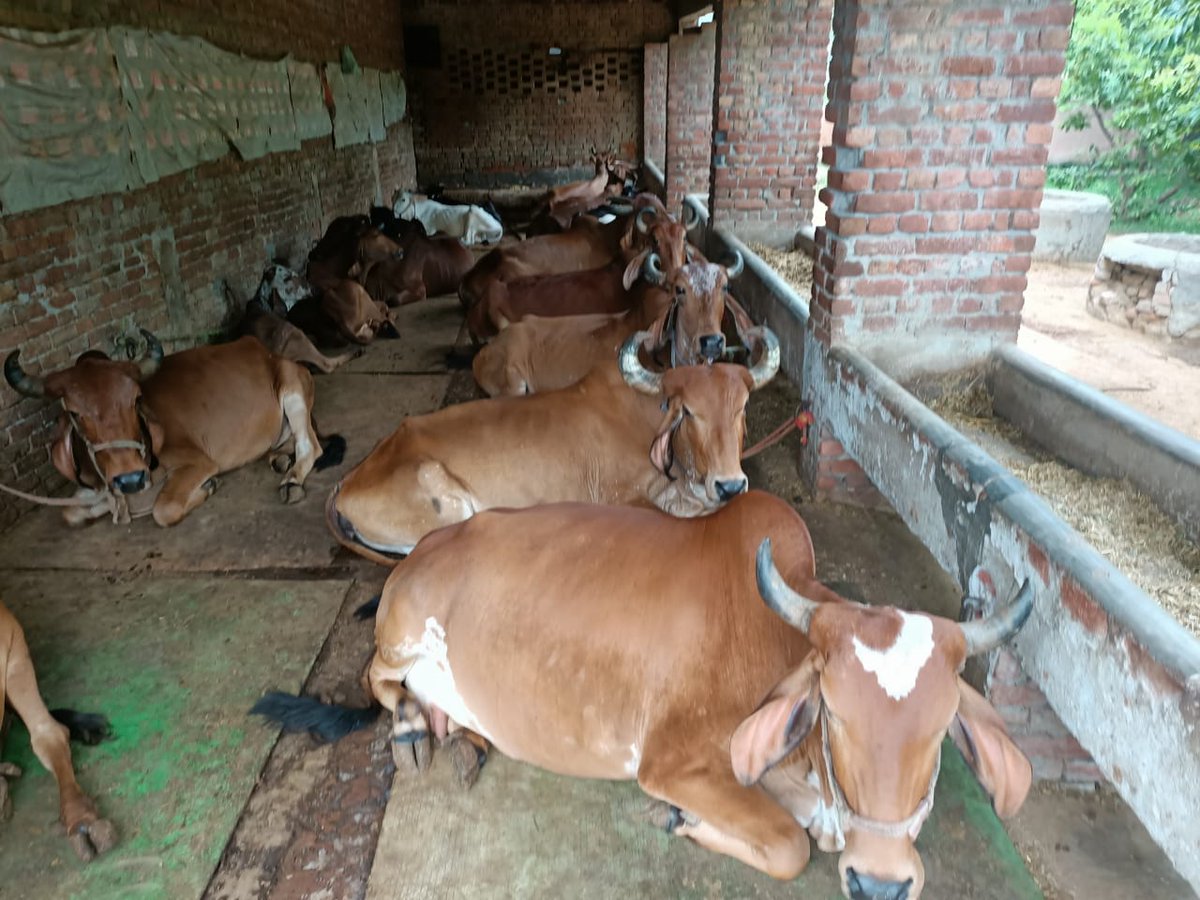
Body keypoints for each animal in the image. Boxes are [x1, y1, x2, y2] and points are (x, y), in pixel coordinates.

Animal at [3, 332, 345, 527]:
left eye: (135, 400)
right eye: (75, 412)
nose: (130, 479)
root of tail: (269, 353)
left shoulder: (197, 462)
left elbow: (163, 509)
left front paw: (209, 486)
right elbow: (70, 514)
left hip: (291, 388)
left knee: (310, 445)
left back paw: (291, 479)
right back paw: (280, 459)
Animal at [253, 491, 1034, 899]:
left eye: (942, 729)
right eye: (834, 713)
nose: (881, 884)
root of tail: (426, 548)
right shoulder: (675, 762)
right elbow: (788, 845)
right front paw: (679, 820)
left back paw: (467, 740)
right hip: (400, 635)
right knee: (378, 682)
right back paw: (416, 729)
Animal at [325, 327, 779, 563]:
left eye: (741, 407)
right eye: (689, 412)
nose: (729, 484)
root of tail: (346, 483)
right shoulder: (623, 498)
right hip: (449, 507)